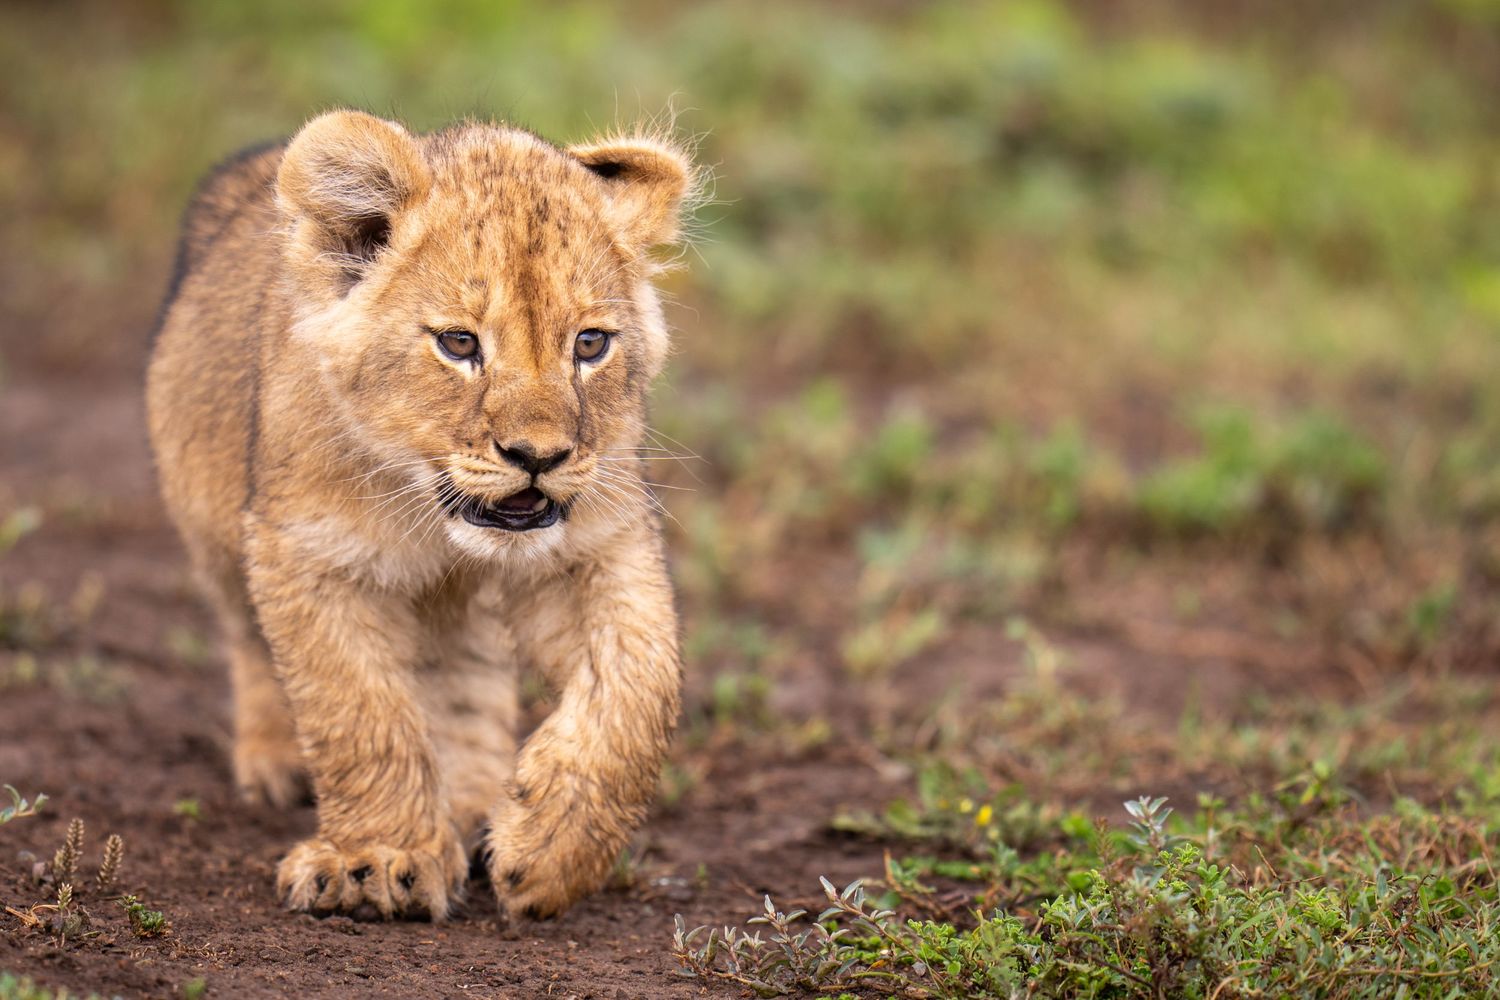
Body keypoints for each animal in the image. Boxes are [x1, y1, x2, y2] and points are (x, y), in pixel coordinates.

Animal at [145, 109, 697, 921]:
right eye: (459, 343)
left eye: (590, 343)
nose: (539, 456)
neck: (432, 517)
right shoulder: (306, 551)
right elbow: (358, 711)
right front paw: (380, 859)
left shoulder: (596, 541)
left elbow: (641, 684)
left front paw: (548, 849)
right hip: (212, 530)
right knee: (248, 638)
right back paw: (279, 762)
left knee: (465, 675)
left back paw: (473, 807)